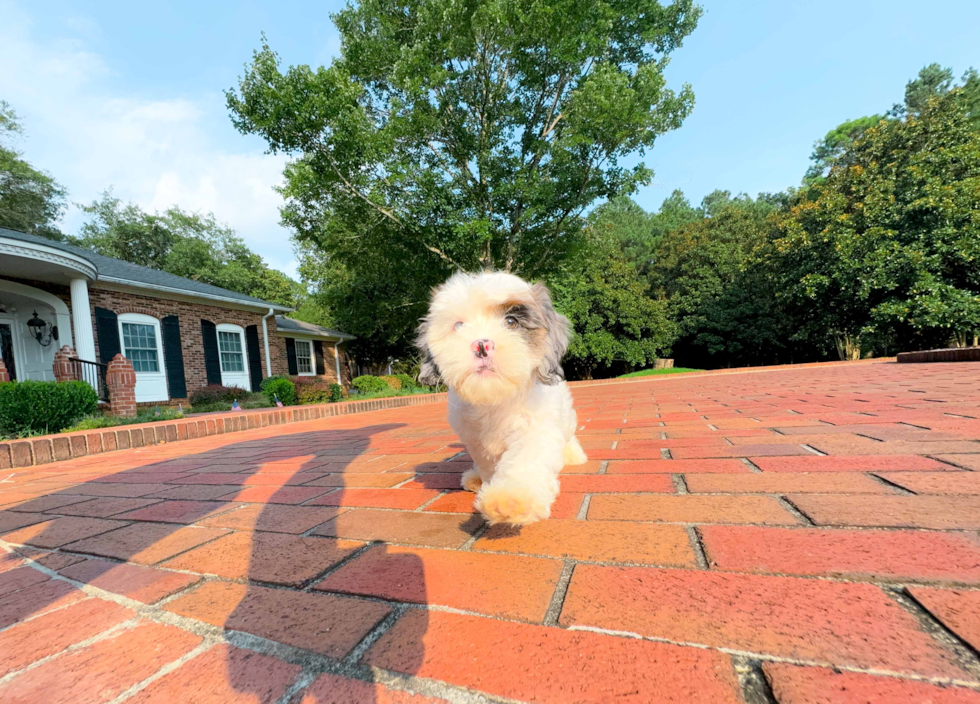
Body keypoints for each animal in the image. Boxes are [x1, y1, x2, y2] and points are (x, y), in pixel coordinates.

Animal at [418, 272, 584, 524]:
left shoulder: (536, 427)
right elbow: (487, 464)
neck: (495, 400)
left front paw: (511, 499)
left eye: (511, 322)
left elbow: (526, 460)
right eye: (459, 325)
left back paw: (574, 455)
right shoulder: (475, 440)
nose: (481, 345)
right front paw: (488, 483)